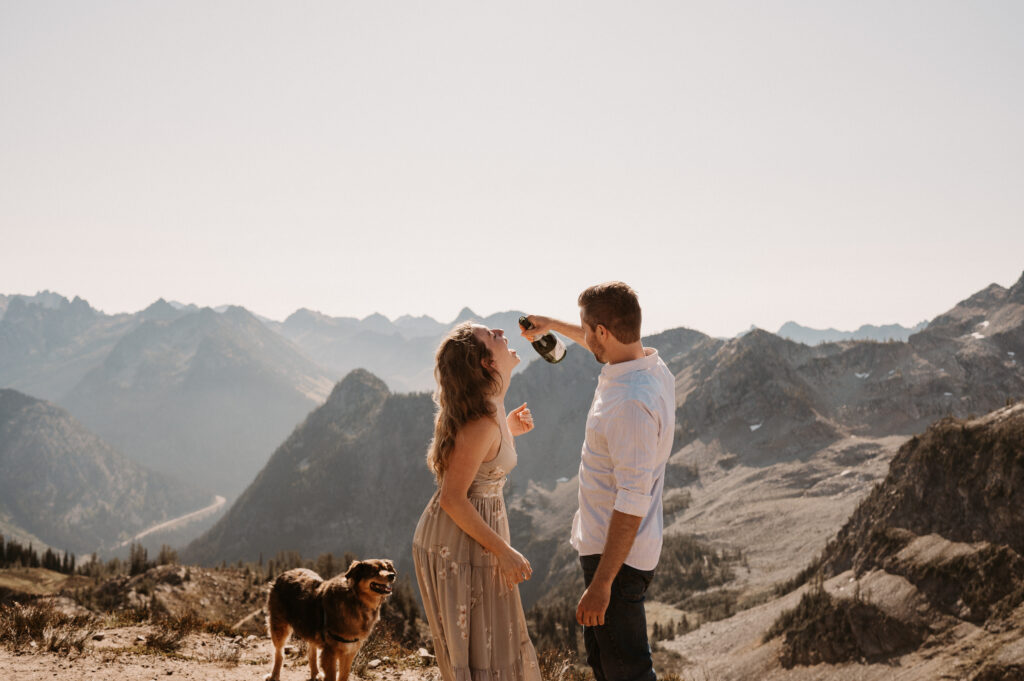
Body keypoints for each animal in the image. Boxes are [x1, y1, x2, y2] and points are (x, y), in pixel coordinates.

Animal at [264, 557, 395, 679]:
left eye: (387, 568)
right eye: (374, 571)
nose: (392, 575)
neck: (357, 601)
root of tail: (285, 573)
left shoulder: (349, 651)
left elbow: (343, 676)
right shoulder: (331, 652)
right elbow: (332, 676)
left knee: (311, 651)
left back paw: (315, 673)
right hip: (279, 627)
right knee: (279, 652)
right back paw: (274, 675)